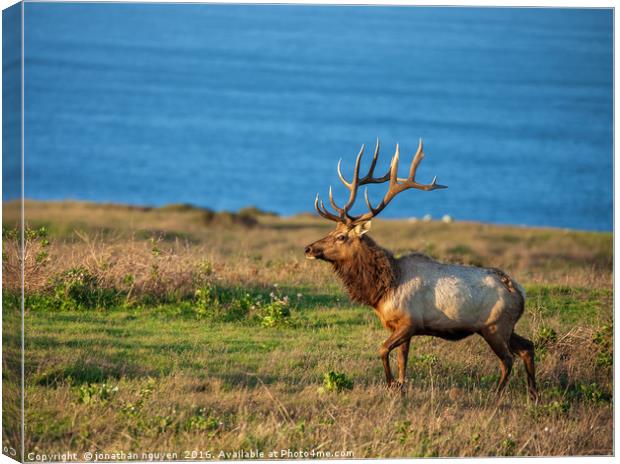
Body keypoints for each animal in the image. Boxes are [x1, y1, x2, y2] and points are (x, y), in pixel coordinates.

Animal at [306, 137, 536, 398]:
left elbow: (383, 350)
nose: (309, 248)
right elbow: (402, 360)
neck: (384, 288)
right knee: (528, 347)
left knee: (507, 359)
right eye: (331, 231)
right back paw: (534, 394)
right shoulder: (400, 327)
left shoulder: (410, 322)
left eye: (341, 237)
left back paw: (496, 395)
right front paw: (400, 387)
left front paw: (391, 384)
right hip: (506, 327)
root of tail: (519, 292)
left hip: (495, 326)